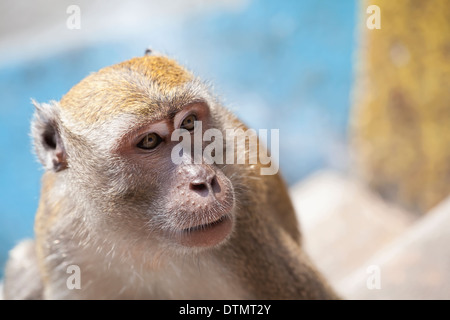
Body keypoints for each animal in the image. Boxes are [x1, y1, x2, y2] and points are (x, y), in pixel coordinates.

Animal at [2, 51, 338, 298]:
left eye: (189, 122)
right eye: (150, 141)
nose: (205, 180)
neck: (144, 242)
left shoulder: (248, 230)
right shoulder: (62, 244)